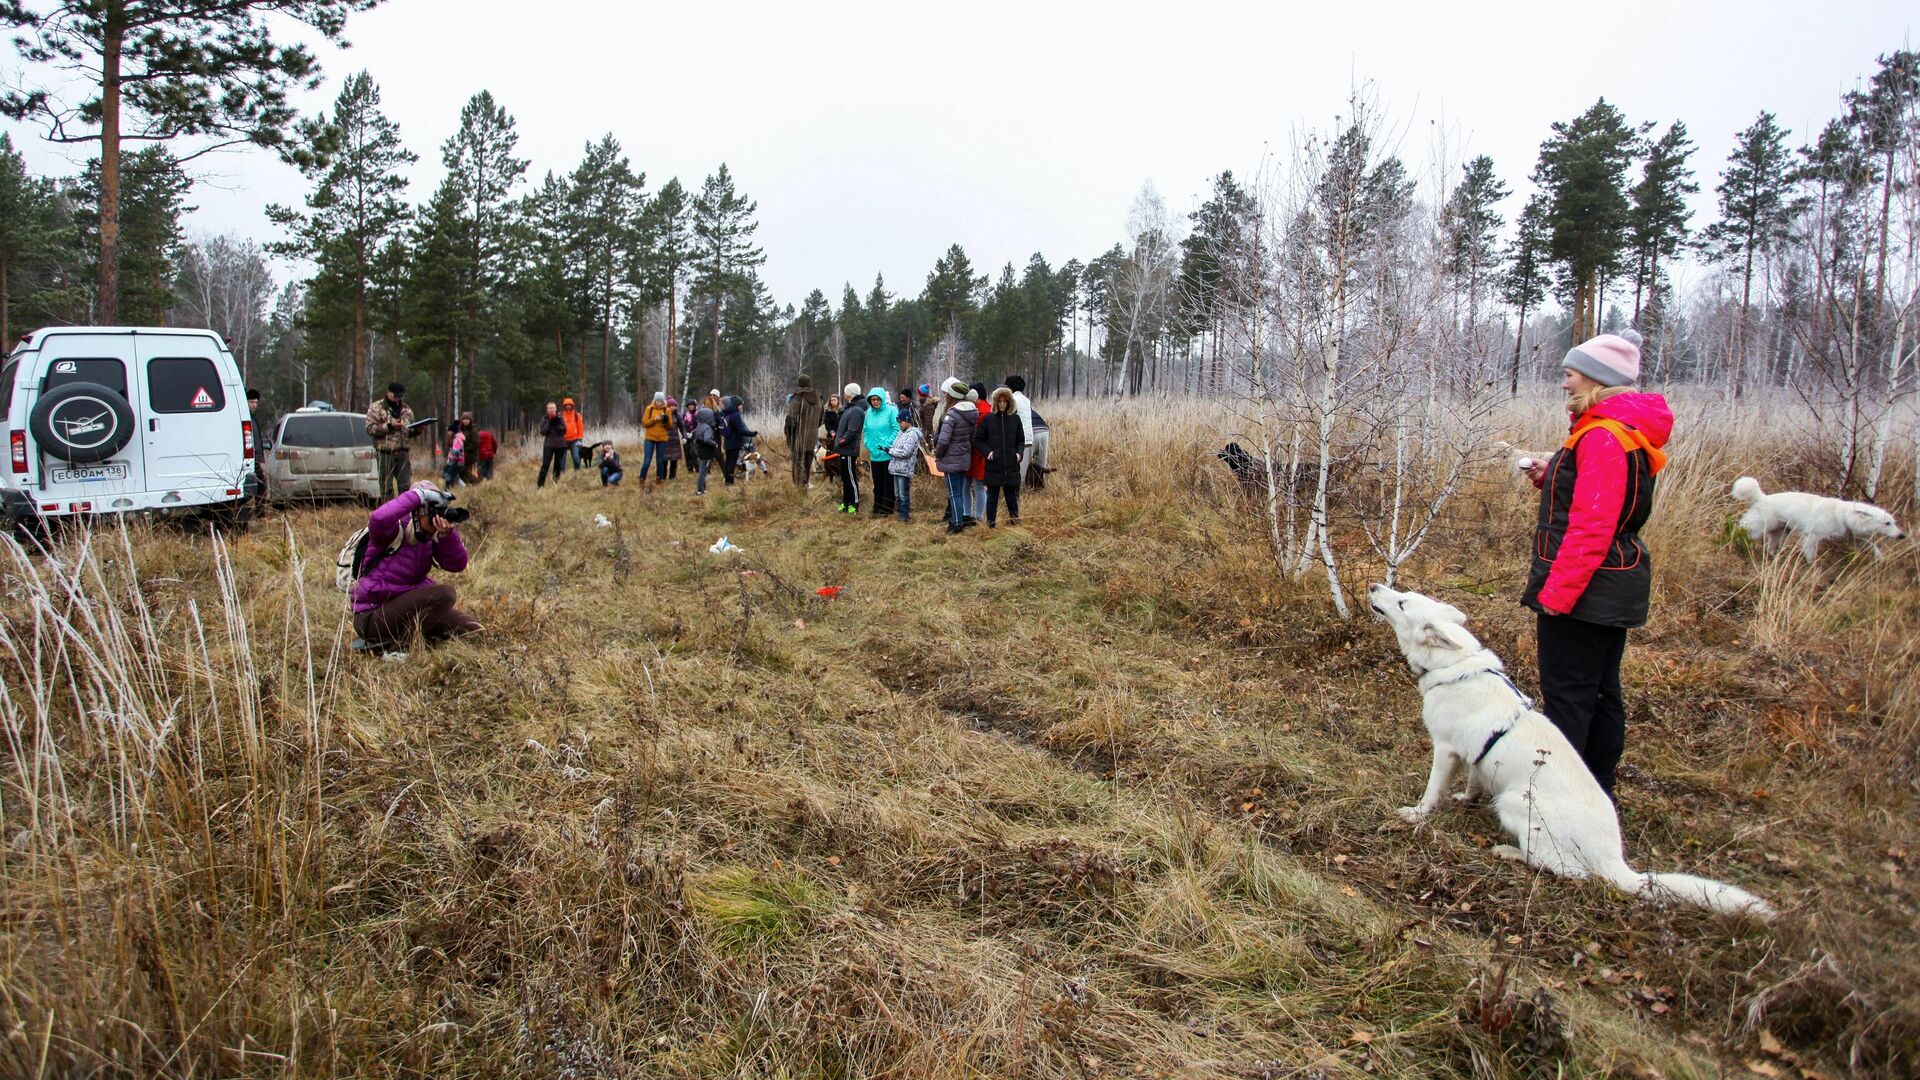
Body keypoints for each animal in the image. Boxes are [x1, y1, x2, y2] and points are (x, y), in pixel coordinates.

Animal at [1374, 580, 1774, 914]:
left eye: (1403, 602)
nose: (1376, 585)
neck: (1456, 666)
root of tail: (1614, 859)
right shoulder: (1475, 755)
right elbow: (1473, 779)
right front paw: (1466, 799)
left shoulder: (1445, 750)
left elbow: (1432, 792)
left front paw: (1416, 814)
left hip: (1515, 803)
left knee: (1566, 869)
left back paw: (1510, 852)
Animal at [1728, 478, 1904, 564]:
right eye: (1887, 523)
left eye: (1893, 522)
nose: (1902, 536)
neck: (1842, 515)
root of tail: (1761, 497)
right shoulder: (1811, 536)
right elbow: (1810, 555)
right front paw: (1811, 567)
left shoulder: (1856, 538)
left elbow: (1873, 546)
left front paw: (1880, 558)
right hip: (1758, 528)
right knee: (1741, 531)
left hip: (1780, 532)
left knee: (1770, 547)